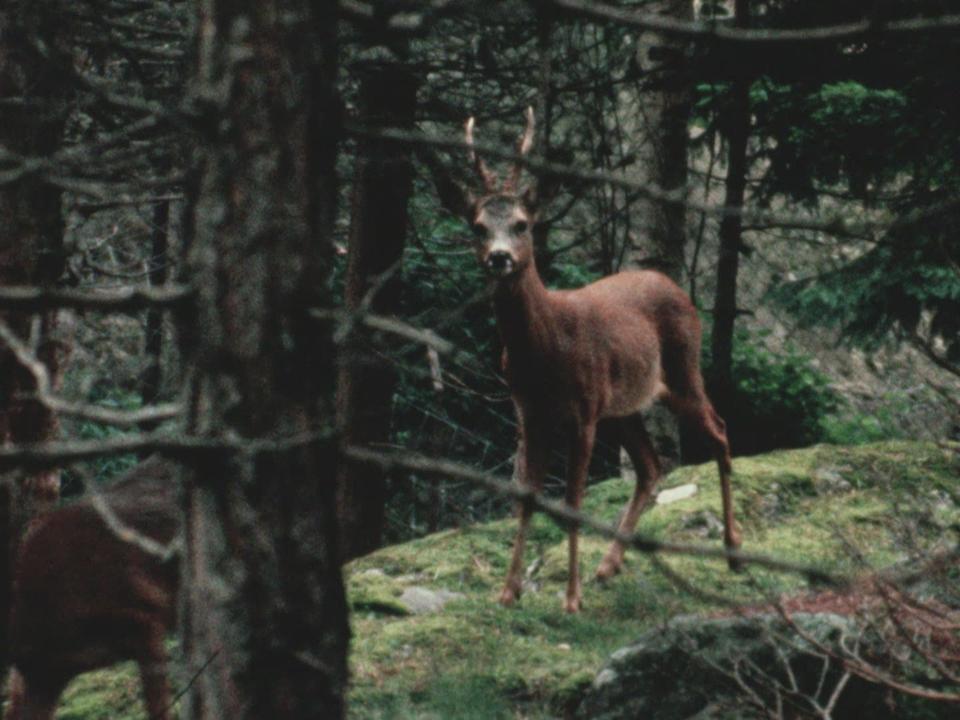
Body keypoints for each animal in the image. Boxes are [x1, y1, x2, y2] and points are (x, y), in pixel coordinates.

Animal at [464, 108, 744, 612]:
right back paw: (609, 565)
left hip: (681, 369)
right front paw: (508, 591)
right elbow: (527, 496)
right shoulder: (528, 413)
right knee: (651, 465)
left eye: (522, 224)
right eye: (477, 225)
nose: (499, 258)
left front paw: (570, 600)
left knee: (718, 430)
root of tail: (677, 288)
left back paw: (733, 551)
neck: (545, 348)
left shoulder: (583, 411)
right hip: (623, 407)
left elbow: (573, 499)